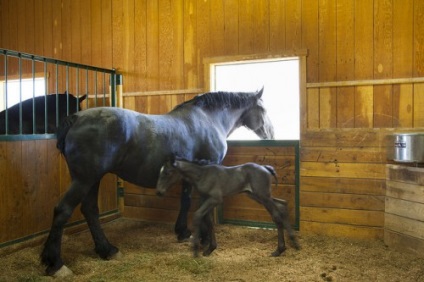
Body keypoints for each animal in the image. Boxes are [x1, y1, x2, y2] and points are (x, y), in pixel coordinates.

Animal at [40, 87, 274, 276]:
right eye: (263, 110)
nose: (271, 134)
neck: (208, 120)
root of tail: (76, 118)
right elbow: (203, 207)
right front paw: (206, 242)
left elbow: (186, 202)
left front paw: (183, 232)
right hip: (84, 179)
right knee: (63, 210)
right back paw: (56, 264)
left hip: (92, 180)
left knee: (89, 210)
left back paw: (106, 250)